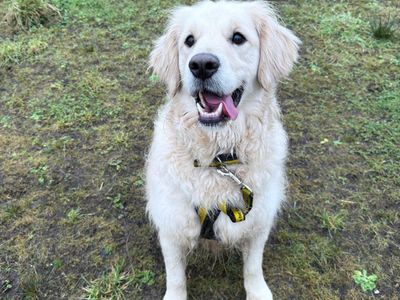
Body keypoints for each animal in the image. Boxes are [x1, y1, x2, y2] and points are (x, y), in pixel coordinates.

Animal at [147, 1, 300, 298]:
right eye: (189, 41)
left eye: (238, 37)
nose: (201, 64)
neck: (219, 157)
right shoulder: (171, 225)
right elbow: (176, 277)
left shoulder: (258, 221)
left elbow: (253, 267)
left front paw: (258, 292)